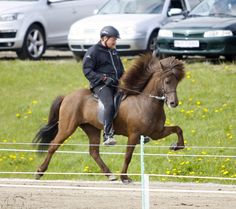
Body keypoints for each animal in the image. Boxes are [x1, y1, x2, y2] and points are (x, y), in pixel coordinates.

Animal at [32, 53, 185, 183]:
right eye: (167, 81)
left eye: (177, 82)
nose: (174, 103)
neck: (146, 102)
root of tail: (67, 96)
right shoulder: (134, 135)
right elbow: (128, 156)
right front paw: (124, 177)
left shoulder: (156, 133)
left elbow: (178, 129)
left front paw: (177, 146)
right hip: (67, 127)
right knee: (53, 145)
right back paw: (39, 172)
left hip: (92, 129)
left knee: (94, 152)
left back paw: (110, 174)